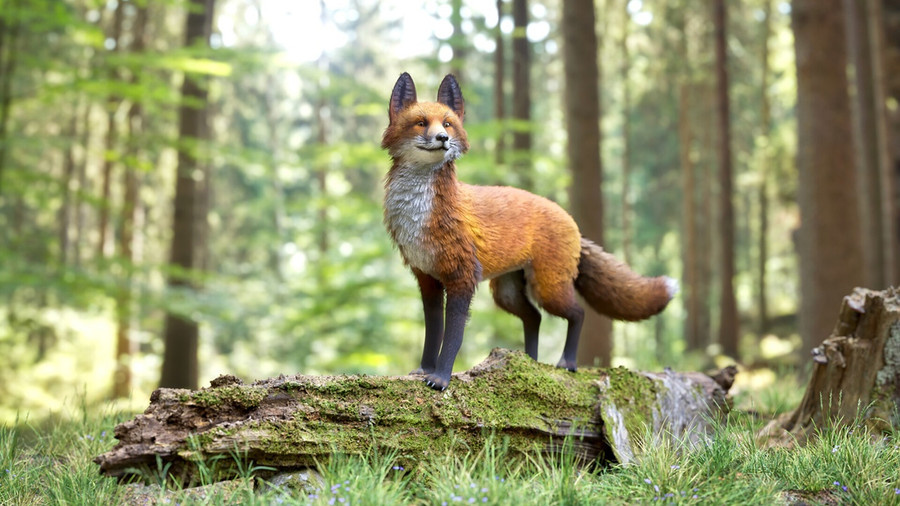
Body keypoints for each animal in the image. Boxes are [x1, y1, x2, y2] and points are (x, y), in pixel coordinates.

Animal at [382, 72, 677, 391]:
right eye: (421, 123)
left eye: (447, 124)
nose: (443, 139)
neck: (420, 218)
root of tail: (570, 220)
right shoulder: (427, 278)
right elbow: (433, 331)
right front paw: (423, 370)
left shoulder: (462, 277)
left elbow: (453, 336)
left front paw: (440, 378)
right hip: (507, 293)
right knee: (534, 317)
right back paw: (531, 364)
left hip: (549, 288)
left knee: (577, 312)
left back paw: (567, 362)